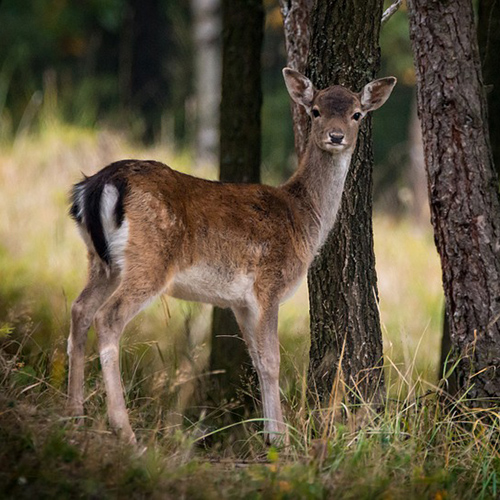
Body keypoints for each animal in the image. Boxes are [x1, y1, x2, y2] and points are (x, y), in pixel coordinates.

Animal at [66, 67, 396, 446]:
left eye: (357, 114)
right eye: (315, 111)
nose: (336, 135)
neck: (304, 220)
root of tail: (96, 185)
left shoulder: (239, 301)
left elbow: (255, 359)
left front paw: (269, 433)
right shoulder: (269, 285)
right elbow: (272, 359)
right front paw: (280, 439)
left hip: (101, 262)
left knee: (80, 309)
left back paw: (73, 415)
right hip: (149, 261)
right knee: (108, 318)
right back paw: (125, 430)